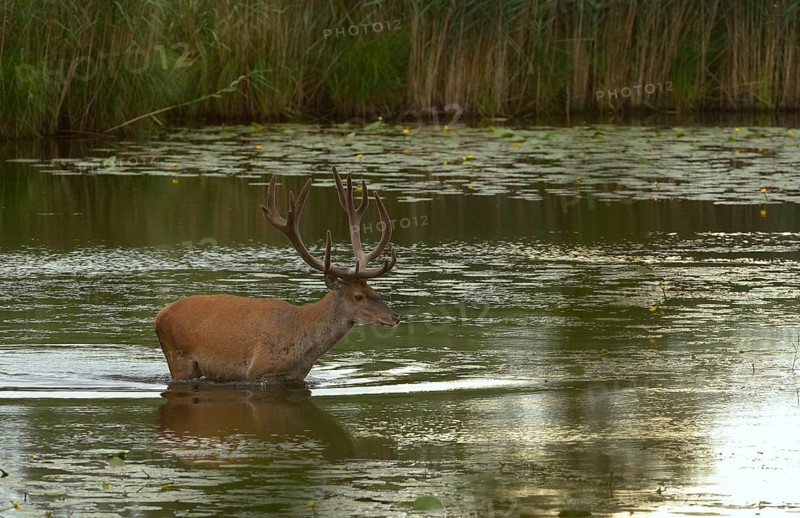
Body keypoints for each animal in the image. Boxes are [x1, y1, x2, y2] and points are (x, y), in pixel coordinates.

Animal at [155, 167, 399, 384]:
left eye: (373, 289)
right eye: (358, 296)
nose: (394, 317)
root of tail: (159, 315)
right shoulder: (259, 370)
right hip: (179, 358)